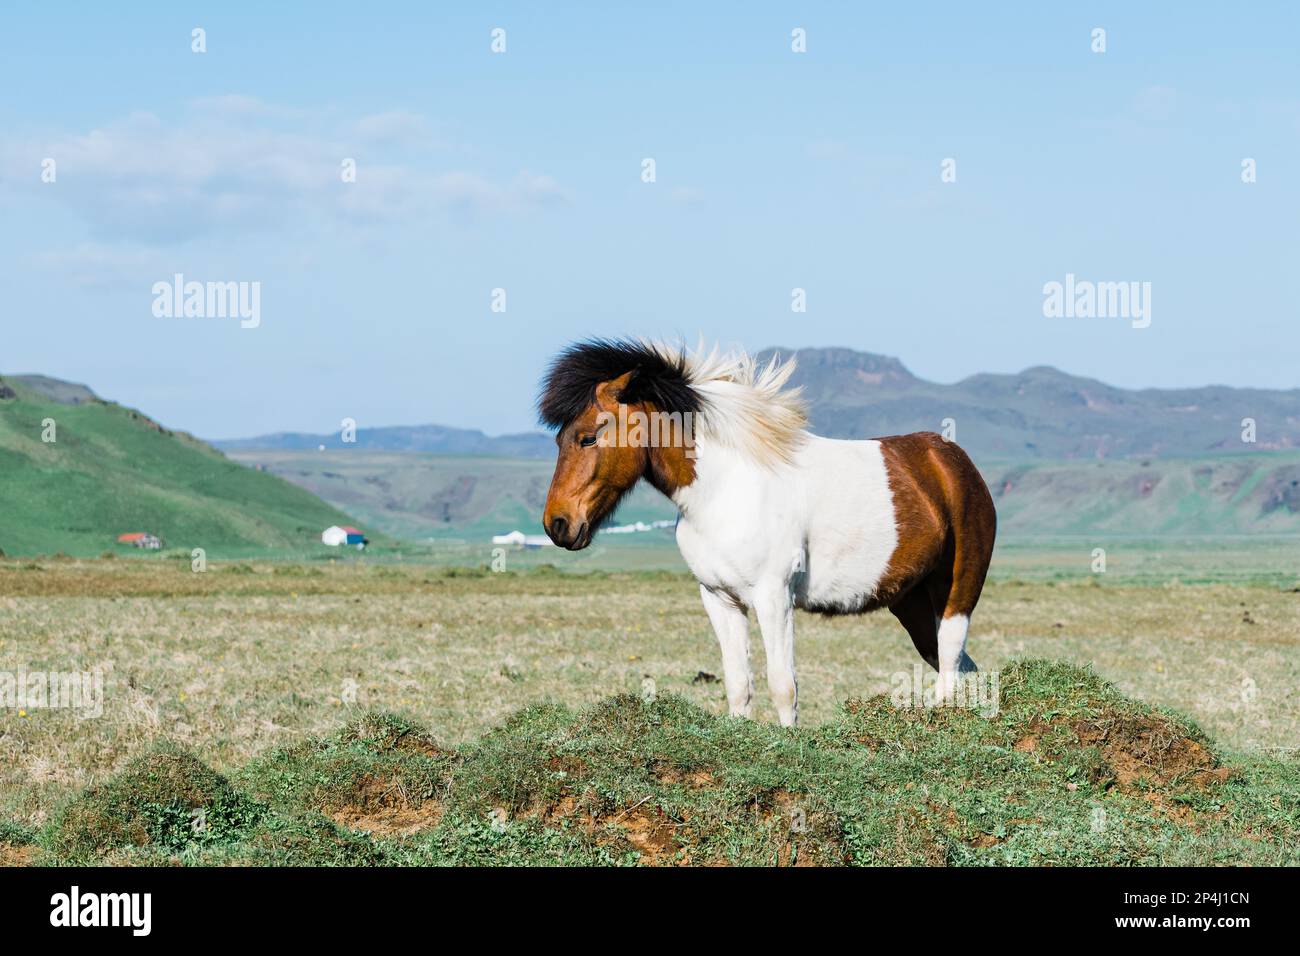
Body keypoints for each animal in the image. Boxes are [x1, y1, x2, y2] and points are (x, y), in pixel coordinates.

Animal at [538, 343, 993, 723]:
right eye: (559, 439)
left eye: (587, 437)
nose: (557, 524)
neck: (724, 488)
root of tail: (951, 460)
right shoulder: (719, 598)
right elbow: (739, 685)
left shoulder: (774, 597)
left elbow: (783, 686)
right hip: (911, 603)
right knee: (960, 667)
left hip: (956, 593)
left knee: (950, 665)